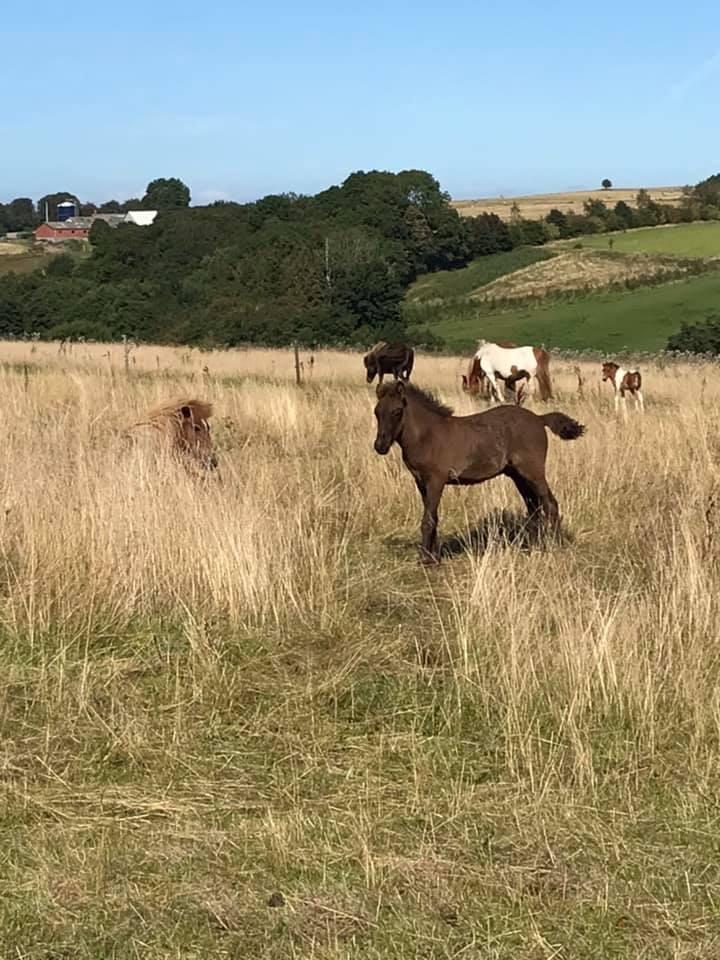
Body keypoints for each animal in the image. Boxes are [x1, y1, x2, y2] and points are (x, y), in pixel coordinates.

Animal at [374, 380, 584, 564]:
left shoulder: (436, 480)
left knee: (550, 504)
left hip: (533, 472)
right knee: (534, 508)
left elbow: (428, 519)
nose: (380, 446)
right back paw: (532, 545)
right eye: (376, 412)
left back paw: (555, 545)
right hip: (518, 475)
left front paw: (425, 560)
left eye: (397, 411)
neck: (427, 435)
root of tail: (539, 419)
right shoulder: (421, 482)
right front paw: (434, 556)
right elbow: (433, 516)